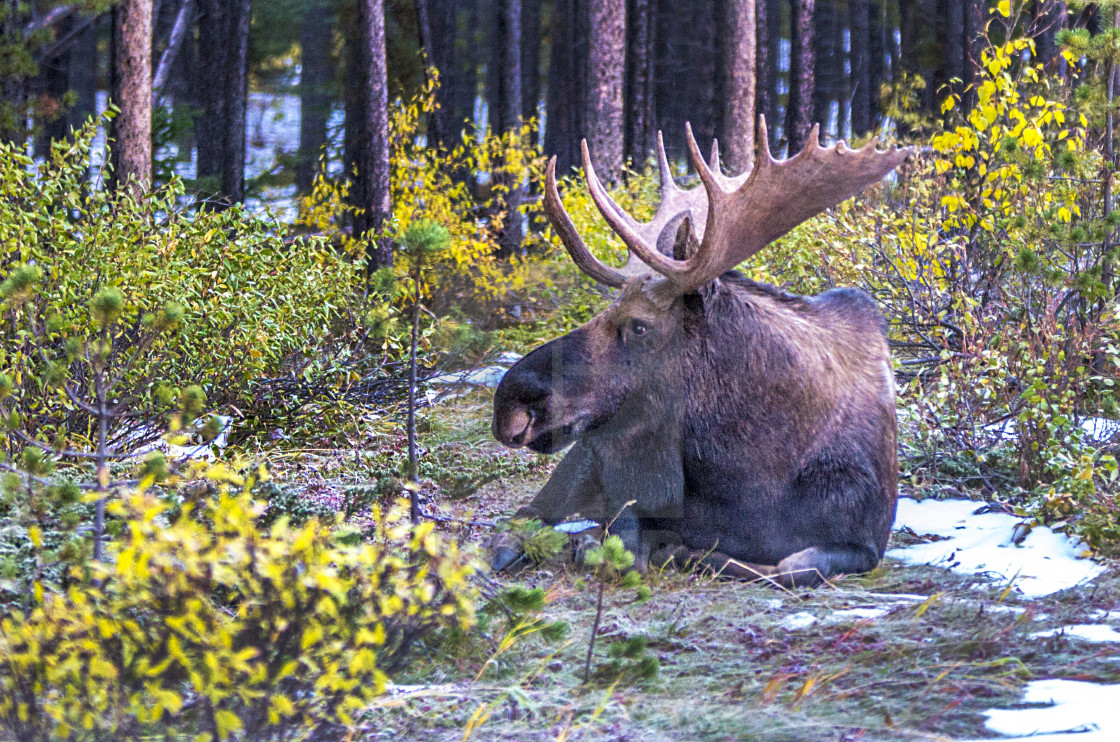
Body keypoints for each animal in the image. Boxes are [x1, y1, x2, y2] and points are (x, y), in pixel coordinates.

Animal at [490, 120, 909, 587]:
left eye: (639, 325)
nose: (511, 401)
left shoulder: (866, 540)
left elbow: (793, 564)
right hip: (582, 458)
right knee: (523, 518)